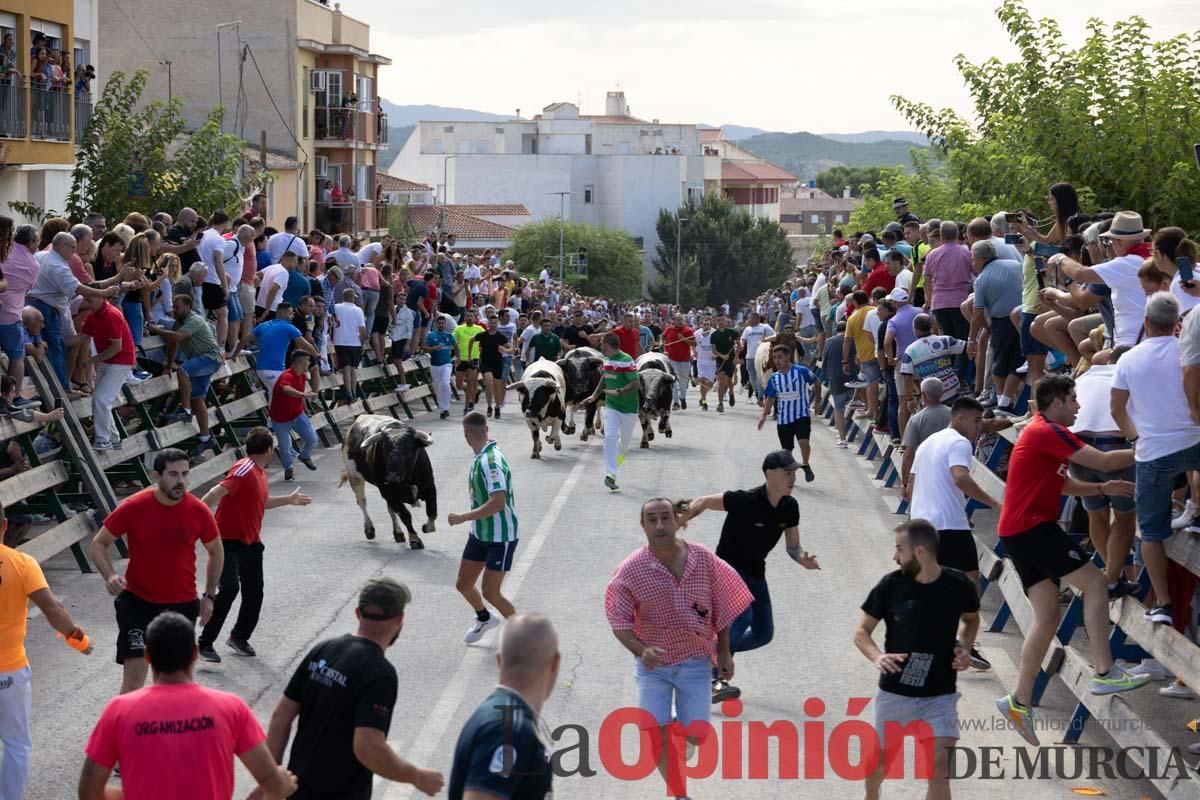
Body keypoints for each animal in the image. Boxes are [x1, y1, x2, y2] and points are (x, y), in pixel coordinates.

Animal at [340, 412, 439, 551]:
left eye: (409, 448)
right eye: (384, 448)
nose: (392, 476)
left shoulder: (430, 486)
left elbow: (432, 511)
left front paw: (426, 527)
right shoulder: (389, 492)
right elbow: (405, 515)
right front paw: (414, 539)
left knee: (390, 510)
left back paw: (398, 533)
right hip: (354, 477)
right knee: (362, 502)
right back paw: (369, 530)